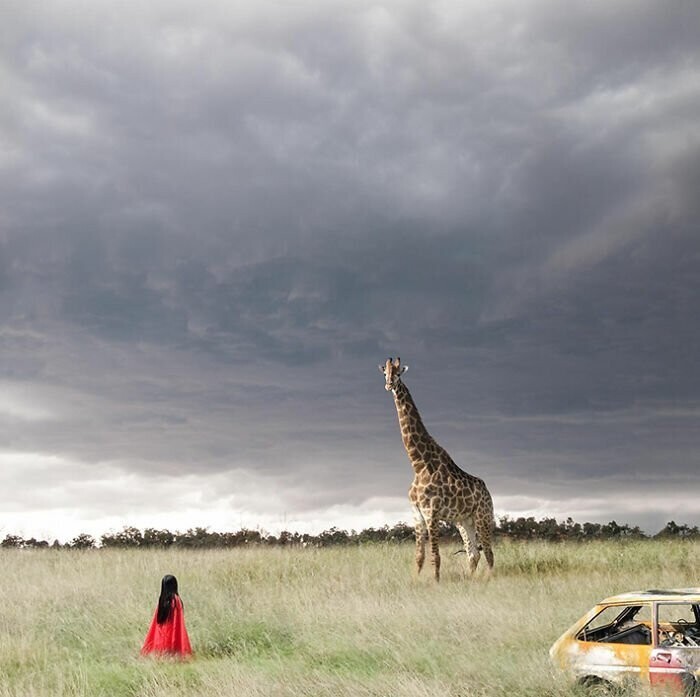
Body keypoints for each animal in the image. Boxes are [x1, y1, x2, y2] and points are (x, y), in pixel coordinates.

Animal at [380, 356, 494, 580]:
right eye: (385, 372)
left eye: (398, 373)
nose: (389, 385)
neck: (418, 464)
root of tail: (488, 491)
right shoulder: (417, 514)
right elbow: (419, 556)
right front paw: (415, 581)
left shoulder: (431, 513)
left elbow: (435, 556)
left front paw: (436, 582)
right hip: (463, 521)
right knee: (473, 553)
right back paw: (470, 580)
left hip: (483, 516)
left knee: (489, 552)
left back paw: (490, 579)